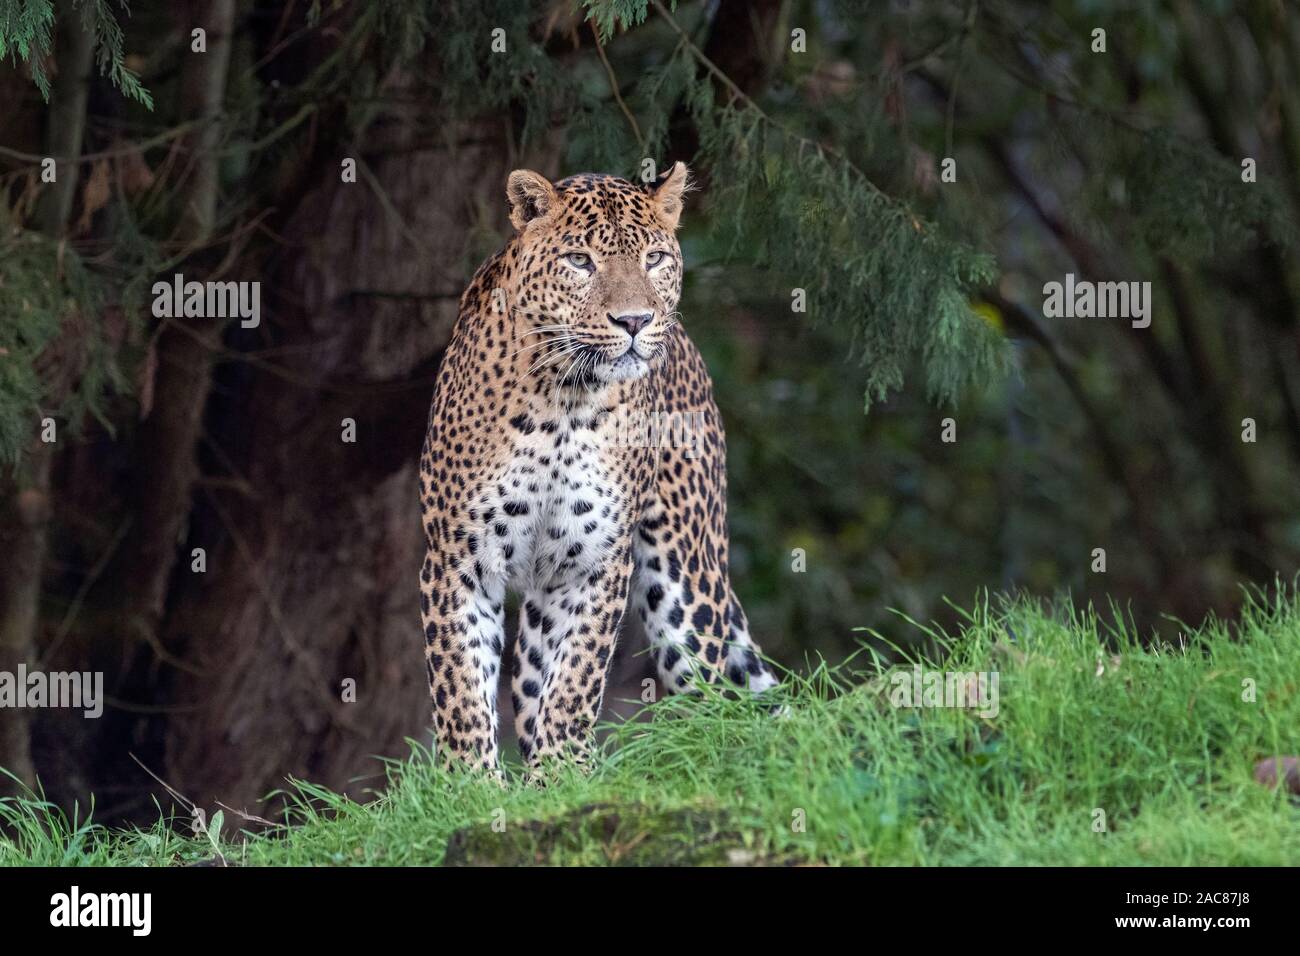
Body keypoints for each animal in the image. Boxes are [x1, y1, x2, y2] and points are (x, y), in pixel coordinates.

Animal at [421, 160, 774, 775]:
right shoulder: (458, 557)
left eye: (654, 258)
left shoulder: (595, 561)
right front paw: (472, 784)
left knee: (720, 703)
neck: (564, 401)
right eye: (580, 261)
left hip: (686, 591)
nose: (634, 320)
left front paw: (566, 768)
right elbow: (460, 685)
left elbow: (577, 677)